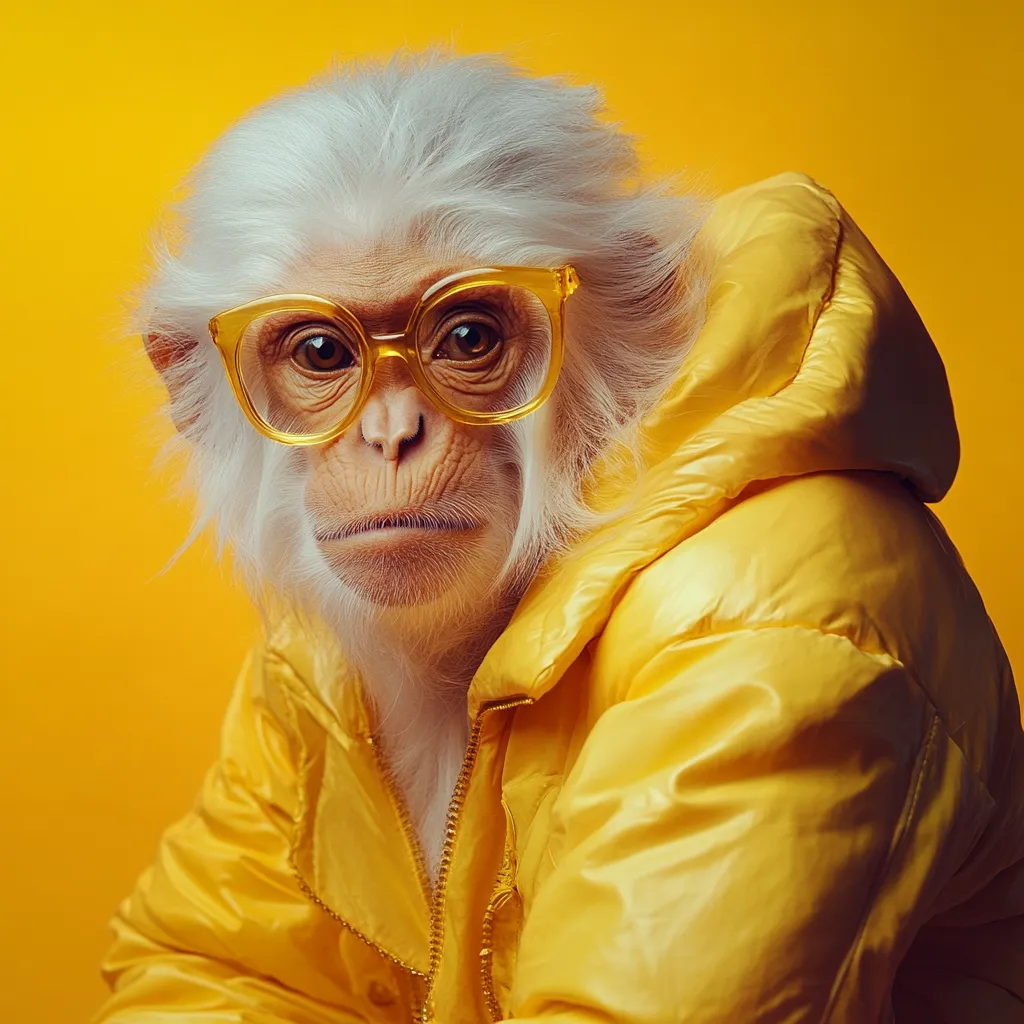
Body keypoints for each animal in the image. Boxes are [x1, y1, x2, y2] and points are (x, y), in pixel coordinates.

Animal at [97, 51, 1024, 1024]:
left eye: (468, 336)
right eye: (321, 354)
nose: (389, 434)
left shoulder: (780, 625)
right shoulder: (288, 682)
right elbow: (204, 962)